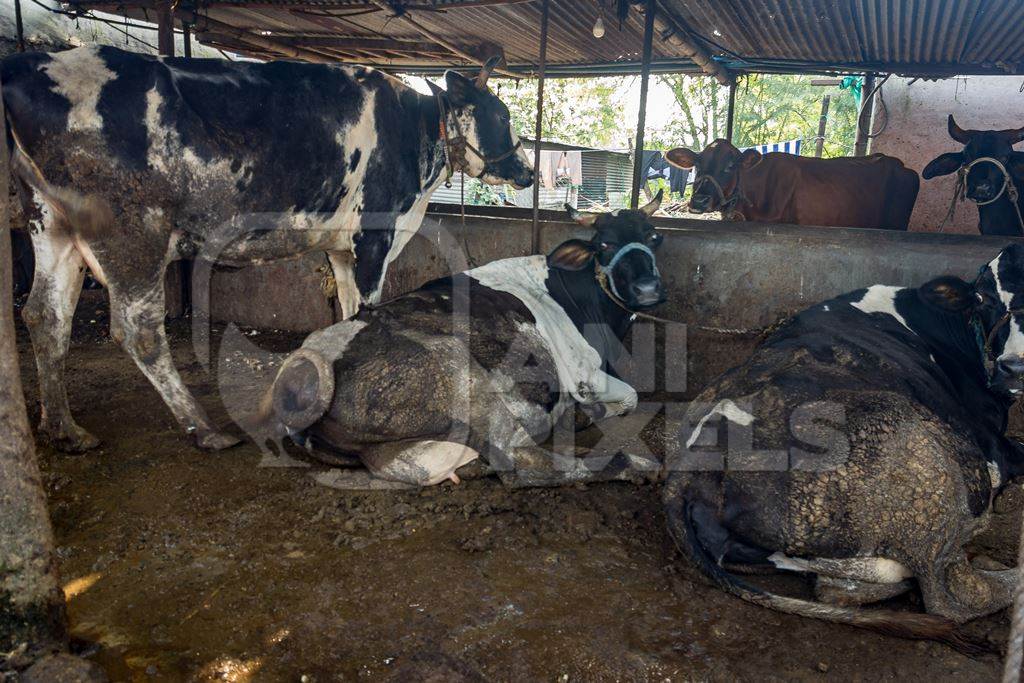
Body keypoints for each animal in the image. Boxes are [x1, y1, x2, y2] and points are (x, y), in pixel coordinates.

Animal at [6, 48, 536, 454]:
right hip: (133, 233)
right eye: (502, 115)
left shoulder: (342, 248)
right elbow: (369, 307)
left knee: (44, 316)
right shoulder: (374, 235)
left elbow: (349, 311)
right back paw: (205, 429)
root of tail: (28, 64)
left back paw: (64, 430)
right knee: (139, 331)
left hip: (52, 226)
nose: (528, 172)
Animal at [260, 194, 667, 489]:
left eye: (653, 237)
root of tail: (305, 368)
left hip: (402, 451)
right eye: (604, 244)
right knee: (521, 462)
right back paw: (639, 464)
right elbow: (631, 396)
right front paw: (593, 413)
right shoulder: (585, 375)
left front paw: (587, 414)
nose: (648, 289)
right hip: (467, 379)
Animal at [659, 242, 1024, 651]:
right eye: (984, 298)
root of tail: (686, 473)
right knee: (952, 593)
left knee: (835, 589)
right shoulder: (994, 450)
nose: (1014, 367)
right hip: (923, 462)